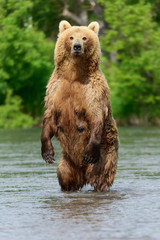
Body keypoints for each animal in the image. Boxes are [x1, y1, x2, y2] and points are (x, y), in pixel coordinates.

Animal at [41, 21, 119, 192]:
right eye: (71, 37)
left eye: (84, 37)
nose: (77, 46)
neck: (74, 75)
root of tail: (82, 171)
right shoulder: (55, 90)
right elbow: (49, 117)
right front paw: (47, 153)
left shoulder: (93, 91)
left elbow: (96, 117)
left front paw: (89, 152)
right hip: (67, 161)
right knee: (64, 176)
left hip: (105, 154)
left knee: (101, 176)